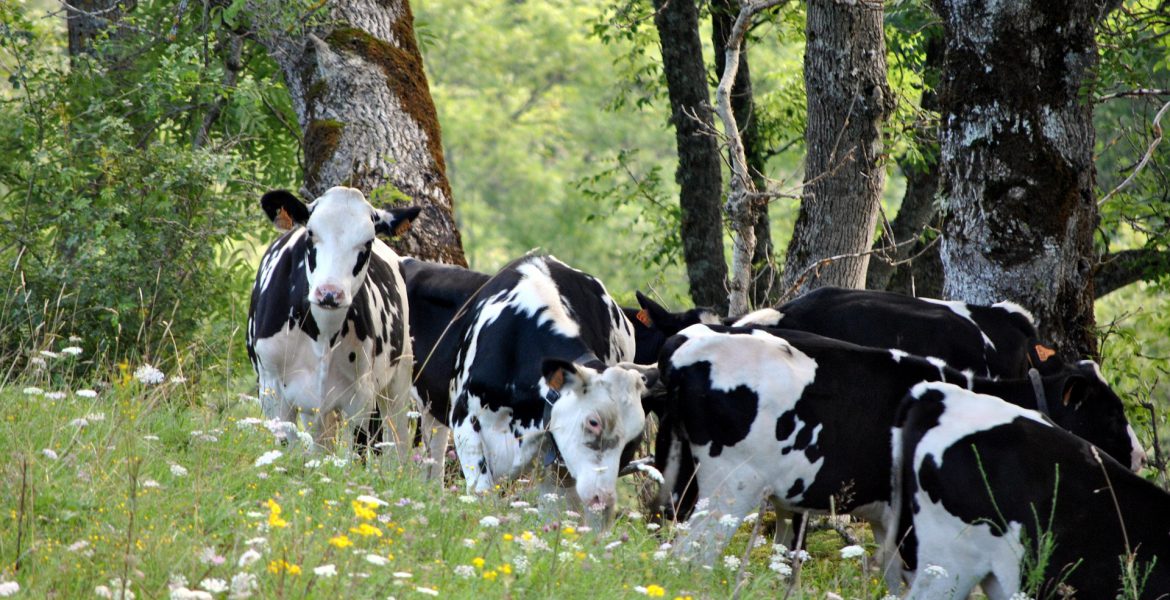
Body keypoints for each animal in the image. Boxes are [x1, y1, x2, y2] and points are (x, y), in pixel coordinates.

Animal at [246, 187, 419, 456]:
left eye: (367, 242)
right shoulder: (272, 388)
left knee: (397, 445)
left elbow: (355, 456)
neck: (322, 335)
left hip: (398, 380)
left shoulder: (360, 397)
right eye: (310, 233)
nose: (329, 293)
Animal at [401, 255, 653, 526]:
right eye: (593, 422)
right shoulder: (465, 422)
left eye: (633, 440)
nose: (603, 499)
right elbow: (482, 496)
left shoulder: (553, 459)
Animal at [652, 324, 1144, 568]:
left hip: (681, 481)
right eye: (1110, 412)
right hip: (730, 487)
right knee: (689, 556)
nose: (1140, 456)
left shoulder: (883, 516)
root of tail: (683, 345)